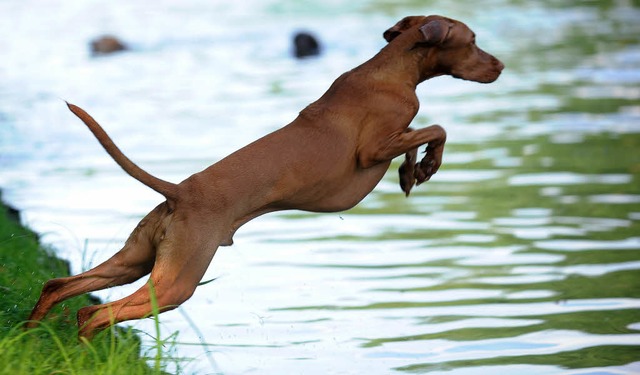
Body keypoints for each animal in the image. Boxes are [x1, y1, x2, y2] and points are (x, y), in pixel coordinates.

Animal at [27, 14, 502, 340]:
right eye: (473, 41)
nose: (500, 66)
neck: (391, 70)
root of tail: (180, 191)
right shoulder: (373, 148)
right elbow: (435, 128)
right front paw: (427, 164)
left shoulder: (392, 138)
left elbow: (417, 137)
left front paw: (412, 172)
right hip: (177, 281)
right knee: (95, 313)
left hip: (136, 261)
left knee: (60, 287)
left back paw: (32, 334)